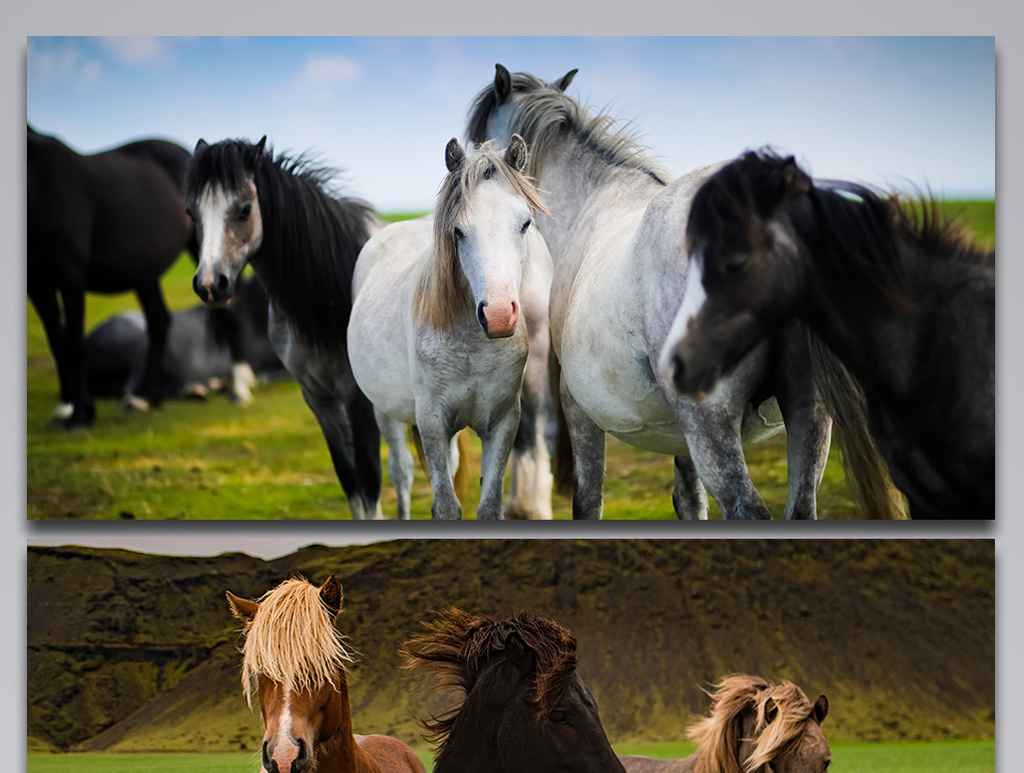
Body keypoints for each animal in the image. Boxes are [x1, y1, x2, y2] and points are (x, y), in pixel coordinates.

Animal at [352, 137, 561, 520]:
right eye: (459, 231)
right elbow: (446, 507)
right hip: (384, 411)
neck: (472, 347)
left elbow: (489, 506)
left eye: (525, 223)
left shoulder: (502, 423)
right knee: (401, 471)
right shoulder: (432, 422)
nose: (498, 315)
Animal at [468, 63, 835, 516]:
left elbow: (587, 499)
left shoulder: (578, 407)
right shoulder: (681, 438)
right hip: (808, 413)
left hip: (709, 422)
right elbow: (689, 499)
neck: (592, 200)